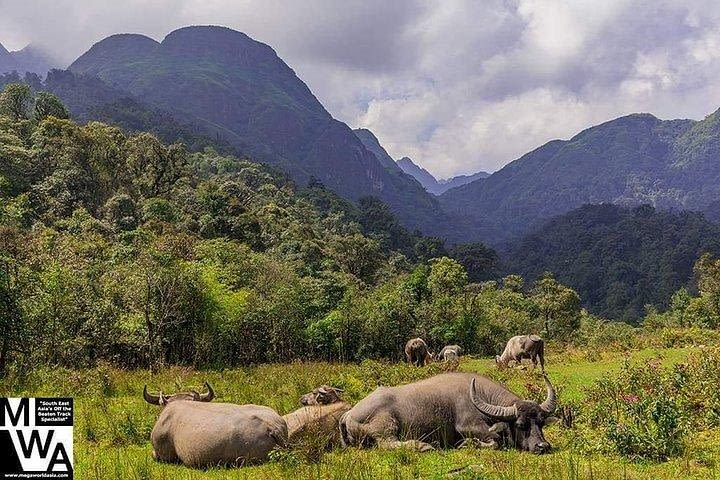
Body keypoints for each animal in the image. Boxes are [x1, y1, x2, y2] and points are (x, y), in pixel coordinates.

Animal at [340, 372, 560, 454]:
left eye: (541, 423)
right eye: (521, 425)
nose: (543, 446)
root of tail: (349, 413)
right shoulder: (469, 426)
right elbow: (496, 440)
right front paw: (467, 444)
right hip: (386, 427)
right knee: (386, 443)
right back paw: (423, 446)